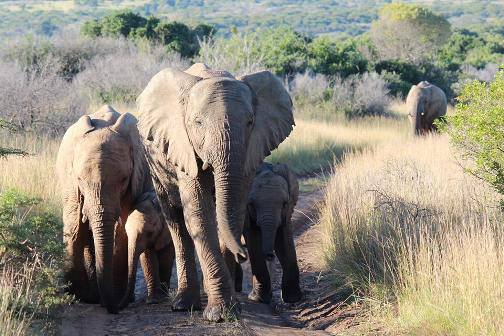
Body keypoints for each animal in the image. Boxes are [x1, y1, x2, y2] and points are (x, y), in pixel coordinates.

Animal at [56, 105, 153, 312]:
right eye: (80, 179)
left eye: (123, 179)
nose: (116, 308)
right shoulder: (70, 183)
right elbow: (74, 228)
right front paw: (80, 296)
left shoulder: (135, 180)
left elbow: (120, 232)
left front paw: (111, 296)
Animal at [137, 63, 296, 320]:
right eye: (198, 123)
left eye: (250, 122)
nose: (243, 255)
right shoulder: (183, 147)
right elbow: (199, 215)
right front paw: (220, 314)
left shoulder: (249, 152)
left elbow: (235, 211)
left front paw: (231, 308)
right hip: (154, 165)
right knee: (175, 220)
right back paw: (183, 305)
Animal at [242, 163, 302, 304]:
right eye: (251, 204)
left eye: (285, 204)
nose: (269, 255)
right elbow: (254, 240)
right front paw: (257, 299)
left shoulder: (286, 214)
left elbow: (284, 242)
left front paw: (293, 299)